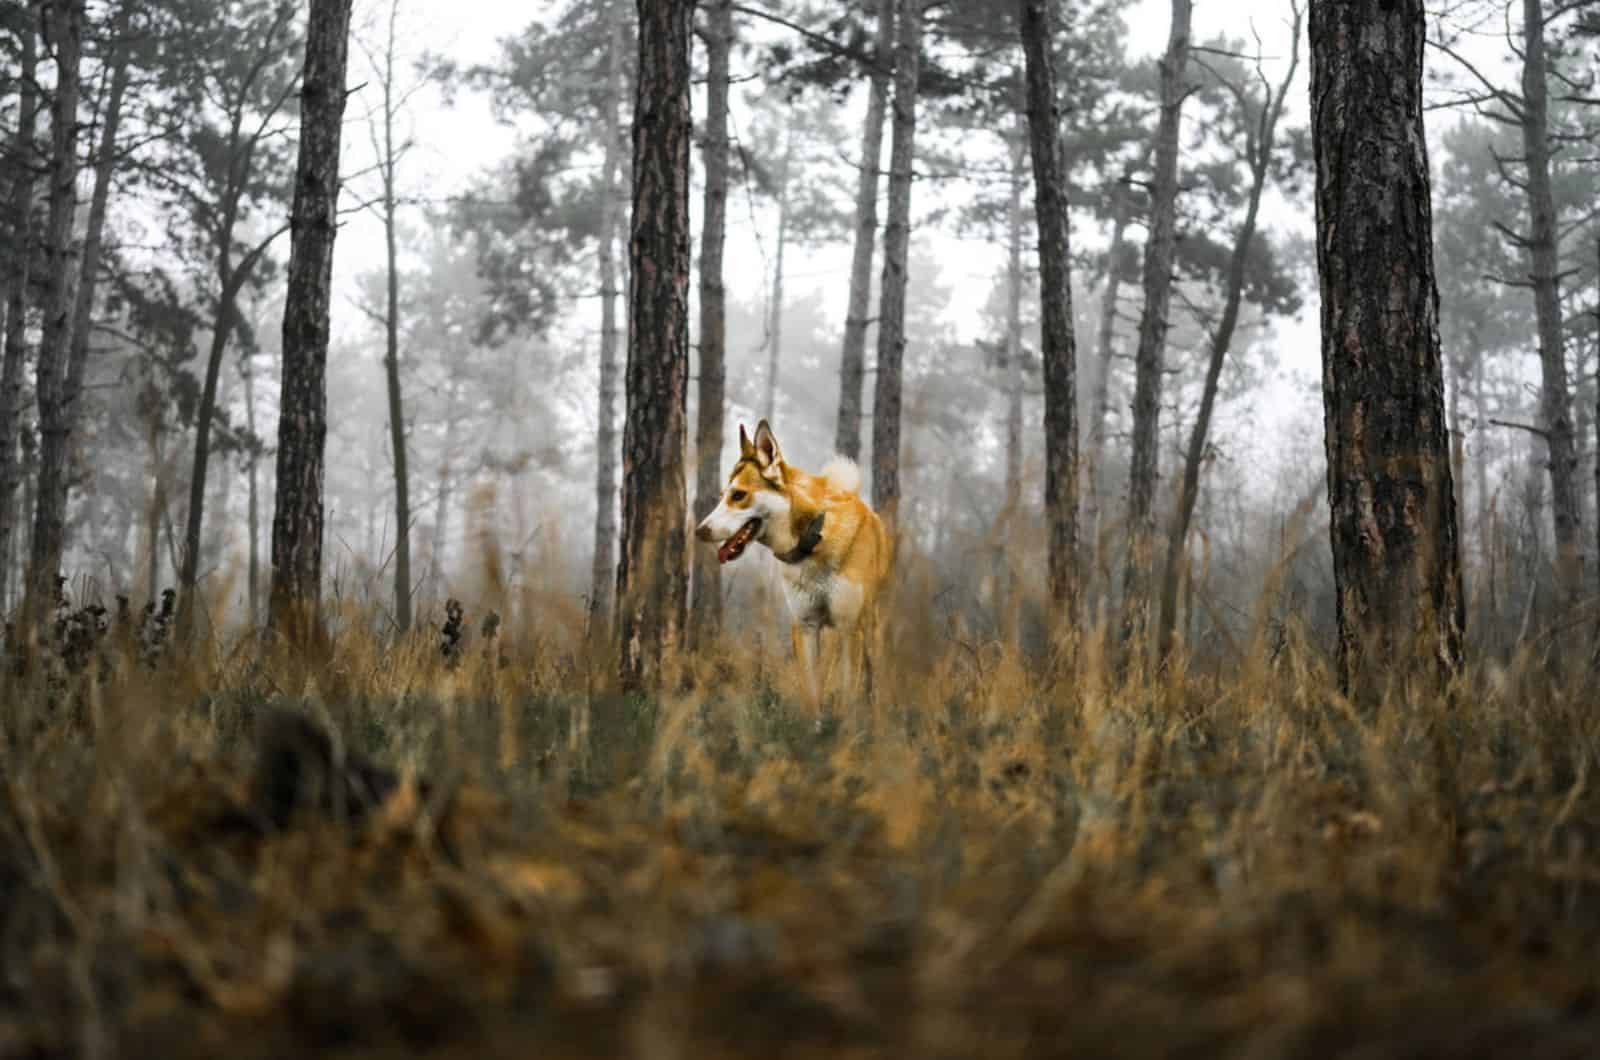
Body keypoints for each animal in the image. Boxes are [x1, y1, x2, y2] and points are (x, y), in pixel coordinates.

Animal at [697, 419, 896, 701]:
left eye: (738, 495)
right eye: (724, 494)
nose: (699, 531)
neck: (814, 541)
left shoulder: (849, 629)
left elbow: (848, 700)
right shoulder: (805, 628)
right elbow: (812, 696)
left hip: (869, 631)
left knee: (873, 683)